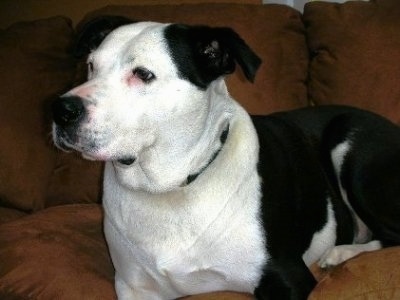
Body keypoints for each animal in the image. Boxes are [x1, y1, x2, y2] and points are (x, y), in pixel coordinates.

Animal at [51, 17, 400, 298]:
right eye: (92, 65)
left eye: (143, 74)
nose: (62, 110)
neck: (168, 190)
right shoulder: (134, 288)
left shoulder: (288, 278)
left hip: (349, 144)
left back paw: (340, 254)